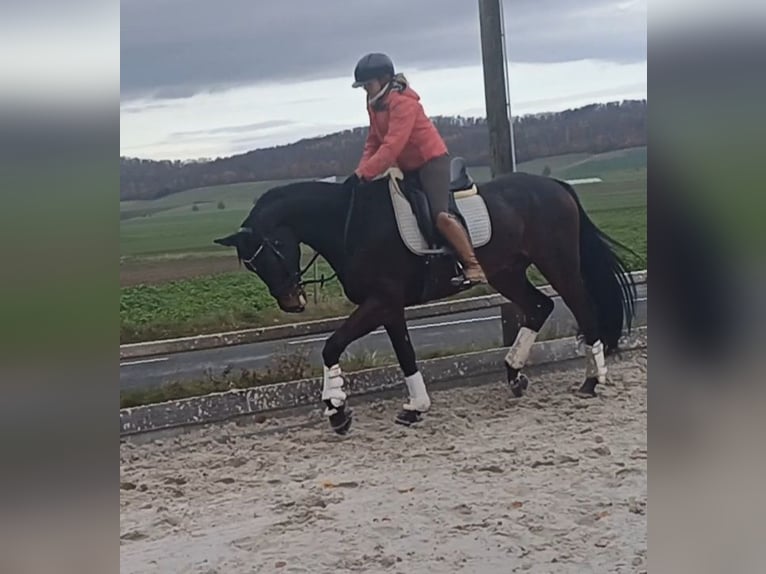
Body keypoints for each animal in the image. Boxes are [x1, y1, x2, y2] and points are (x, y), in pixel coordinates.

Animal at [213, 171, 640, 436]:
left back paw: (591, 380)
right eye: (253, 265)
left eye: (274, 247)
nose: (292, 303)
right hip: (506, 273)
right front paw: (412, 407)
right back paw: (515, 374)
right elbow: (404, 353)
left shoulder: (381, 301)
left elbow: (332, 346)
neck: (349, 223)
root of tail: (555, 185)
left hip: (557, 263)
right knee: (538, 307)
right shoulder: (389, 307)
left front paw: (337, 411)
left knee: (581, 306)